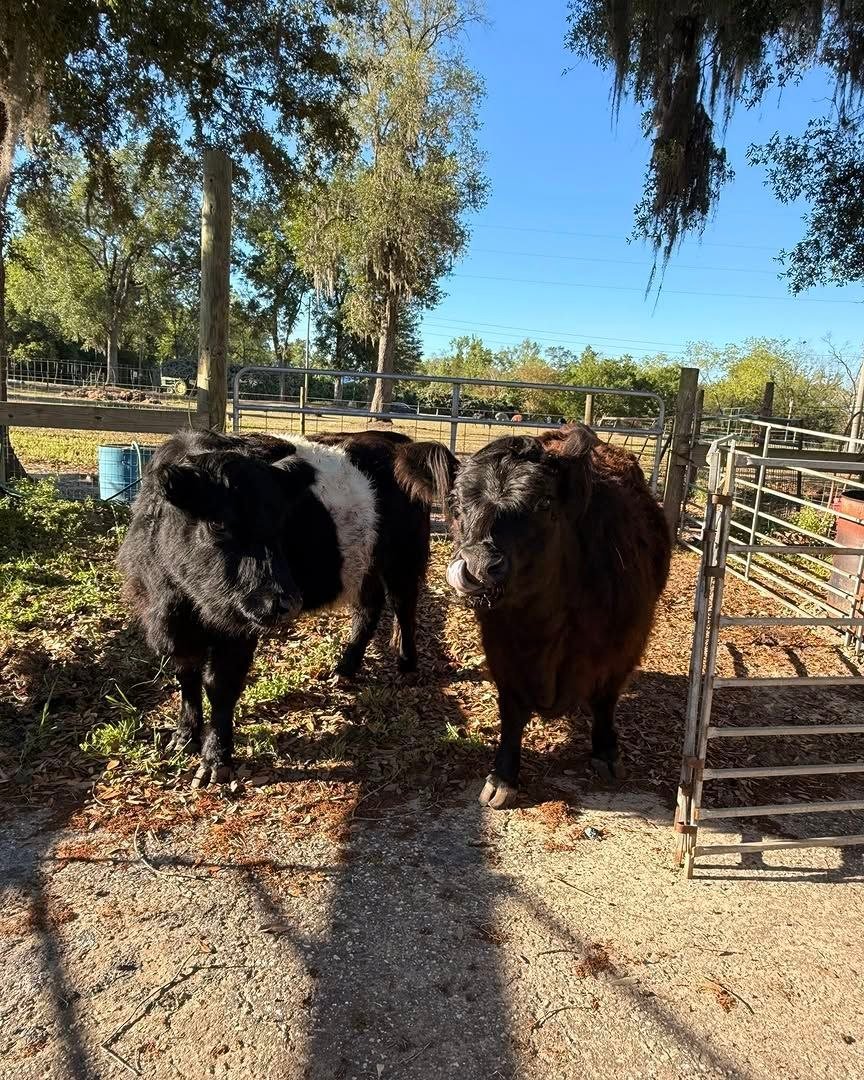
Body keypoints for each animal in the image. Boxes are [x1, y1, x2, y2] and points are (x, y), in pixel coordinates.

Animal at [117, 429, 454, 786]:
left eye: (283, 523)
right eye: (217, 524)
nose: (285, 602)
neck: (184, 601)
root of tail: (397, 441)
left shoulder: (237, 629)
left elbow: (219, 686)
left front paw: (215, 762)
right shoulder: (169, 622)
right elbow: (187, 677)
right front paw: (183, 737)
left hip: (402, 559)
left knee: (404, 605)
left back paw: (406, 665)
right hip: (366, 565)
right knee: (368, 610)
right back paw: (344, 669)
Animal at [418, 423, 671, 808]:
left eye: (543, 503)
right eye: (455, 504)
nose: (479, 566)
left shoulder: (624, 650)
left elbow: (605, 701)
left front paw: (606, 752)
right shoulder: (503, 652)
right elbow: (511, 713)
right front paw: (503, 775)